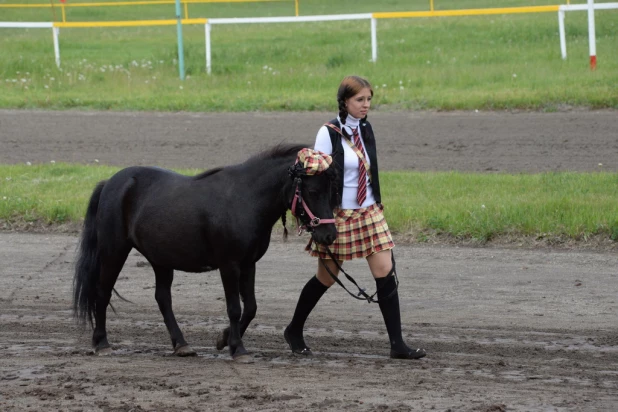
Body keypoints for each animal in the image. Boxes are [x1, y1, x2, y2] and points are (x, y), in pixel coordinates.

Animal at [72, 144, 336, 360]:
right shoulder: (229, 265)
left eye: (331, 190)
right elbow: (234, 307)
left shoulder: (248, 263)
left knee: (162, 298)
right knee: (102, 292)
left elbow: (250, 307)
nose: (330, 235)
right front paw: (238, 348)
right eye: (312, 191)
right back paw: (101, 343)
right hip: (114, 251)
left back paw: (181, 344)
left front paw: (225, 338)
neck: (245, 199)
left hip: (161, 259)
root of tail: (111, 183)